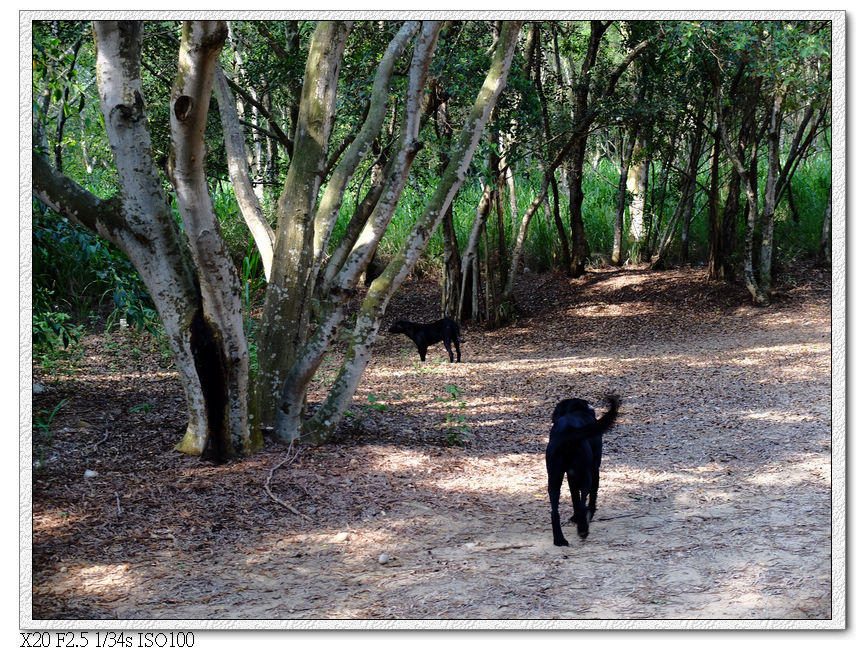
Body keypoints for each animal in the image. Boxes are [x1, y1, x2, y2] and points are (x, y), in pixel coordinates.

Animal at [544, 392, 616, 544]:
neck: (576, 409)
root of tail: (568, 431)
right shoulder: (595, 469)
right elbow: (591, 496)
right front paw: (589, 514)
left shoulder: (571, 475)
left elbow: (574, 498)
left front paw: (575, 518)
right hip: (586, 475)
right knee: (583, 504)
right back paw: (583, 529)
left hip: (554, 478)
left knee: (554, 511)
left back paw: (559, 539)